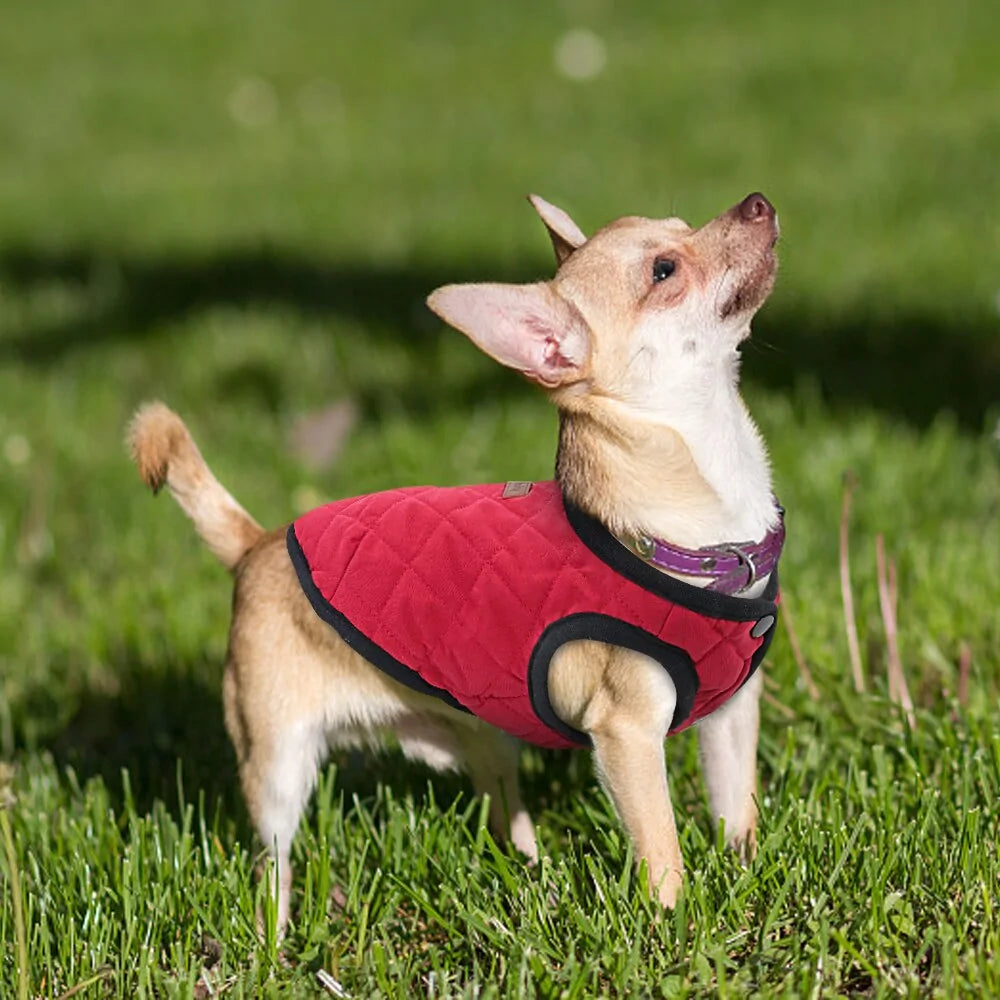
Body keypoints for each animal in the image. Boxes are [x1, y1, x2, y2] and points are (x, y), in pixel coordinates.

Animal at [127, 191, 780, 932]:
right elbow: (661, 847)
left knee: (504, 809)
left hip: (485, 734)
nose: (757, 202)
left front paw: (745, 875)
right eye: (663, 270)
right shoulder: (628, 733)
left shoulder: (732, 718)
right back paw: (276, 934)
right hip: (278, 765)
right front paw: (672, 925)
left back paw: (531, 875)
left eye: (680, 225)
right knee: (275, 857)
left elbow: (736, 808)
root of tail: (256, 543)